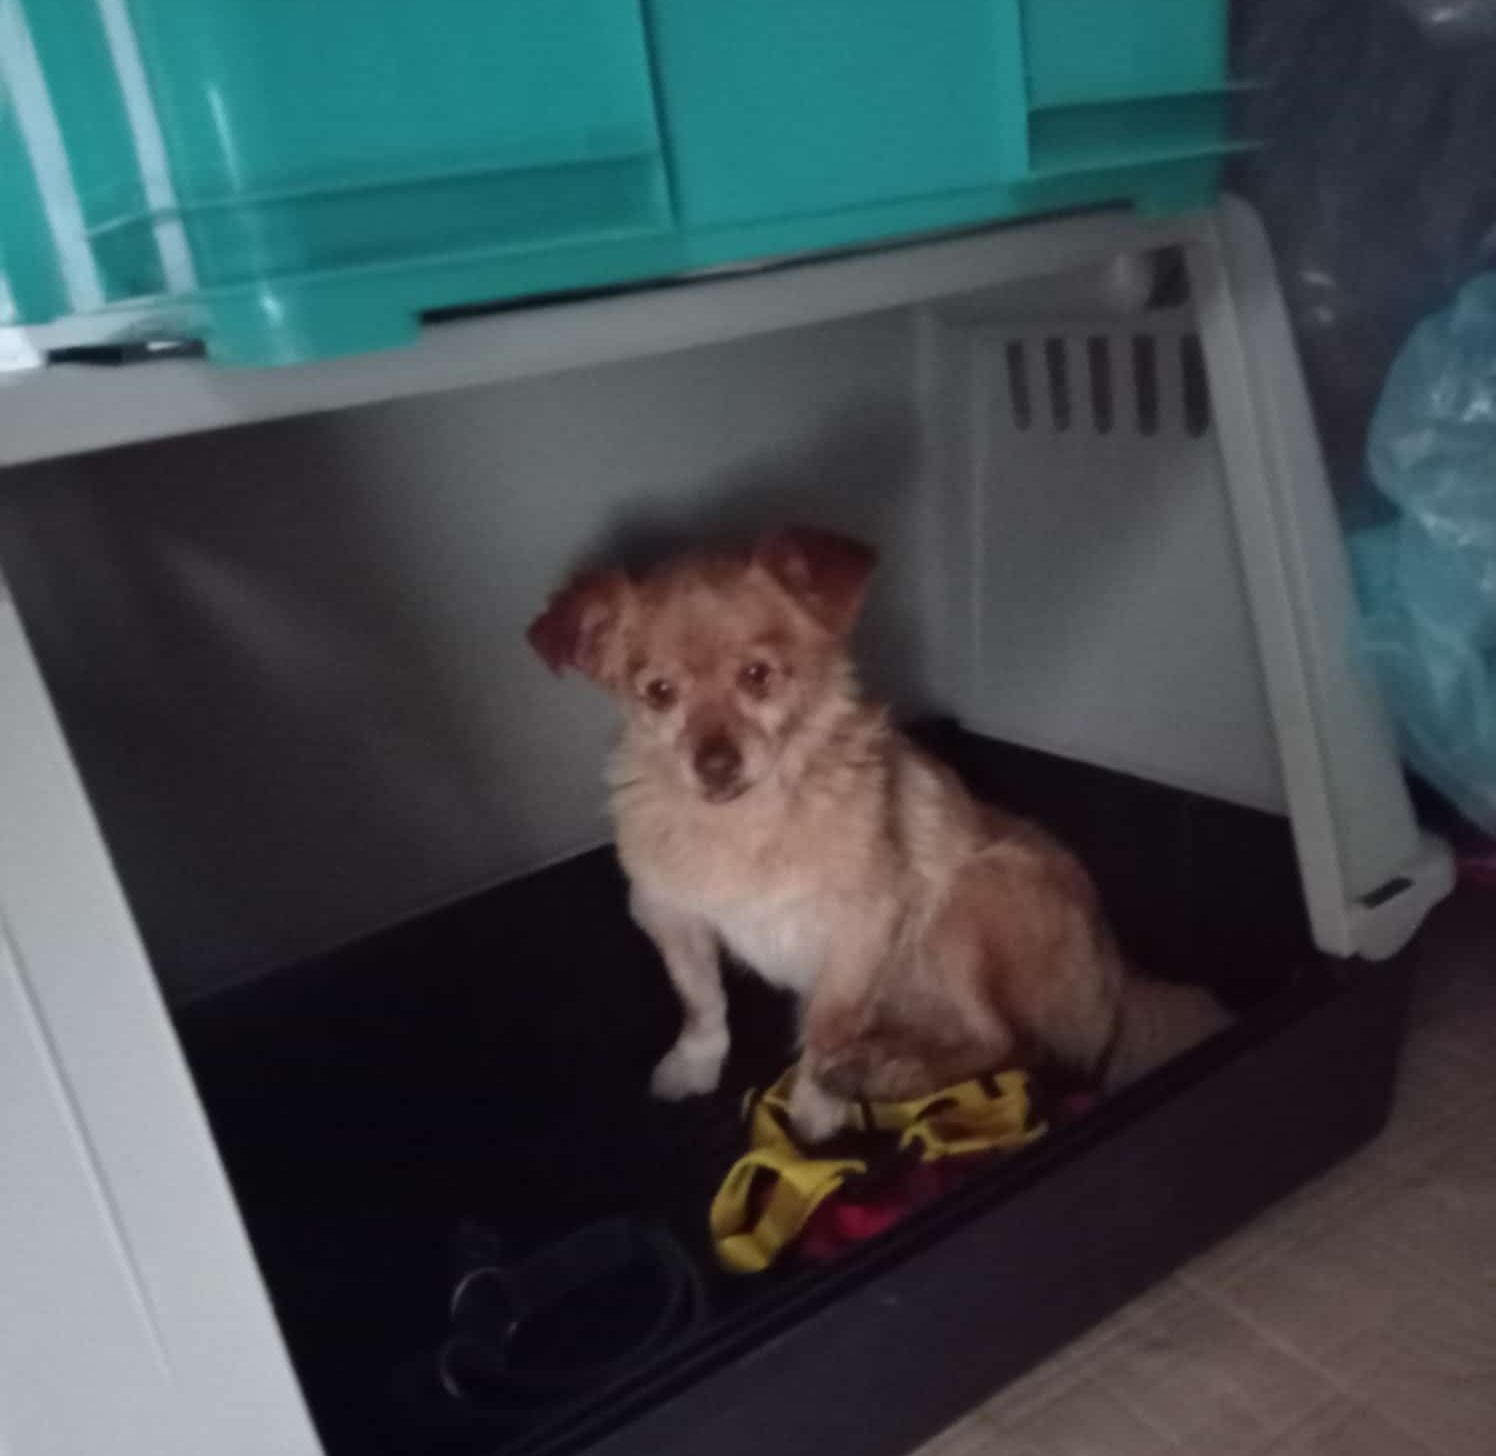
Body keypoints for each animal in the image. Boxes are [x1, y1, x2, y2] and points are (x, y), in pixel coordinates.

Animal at [528, 526, 1229, 1140]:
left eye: (757, 676)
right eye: (659, 693)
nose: (716, 765)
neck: (749, 821)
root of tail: (1118, 980)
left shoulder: (859, 927)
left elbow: (828, 1028)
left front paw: (815, 1106)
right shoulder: (669, 915)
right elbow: (701, 1000)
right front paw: (694, 1065)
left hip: (971, 899)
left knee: (1009, 1042)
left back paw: (881, 1074)